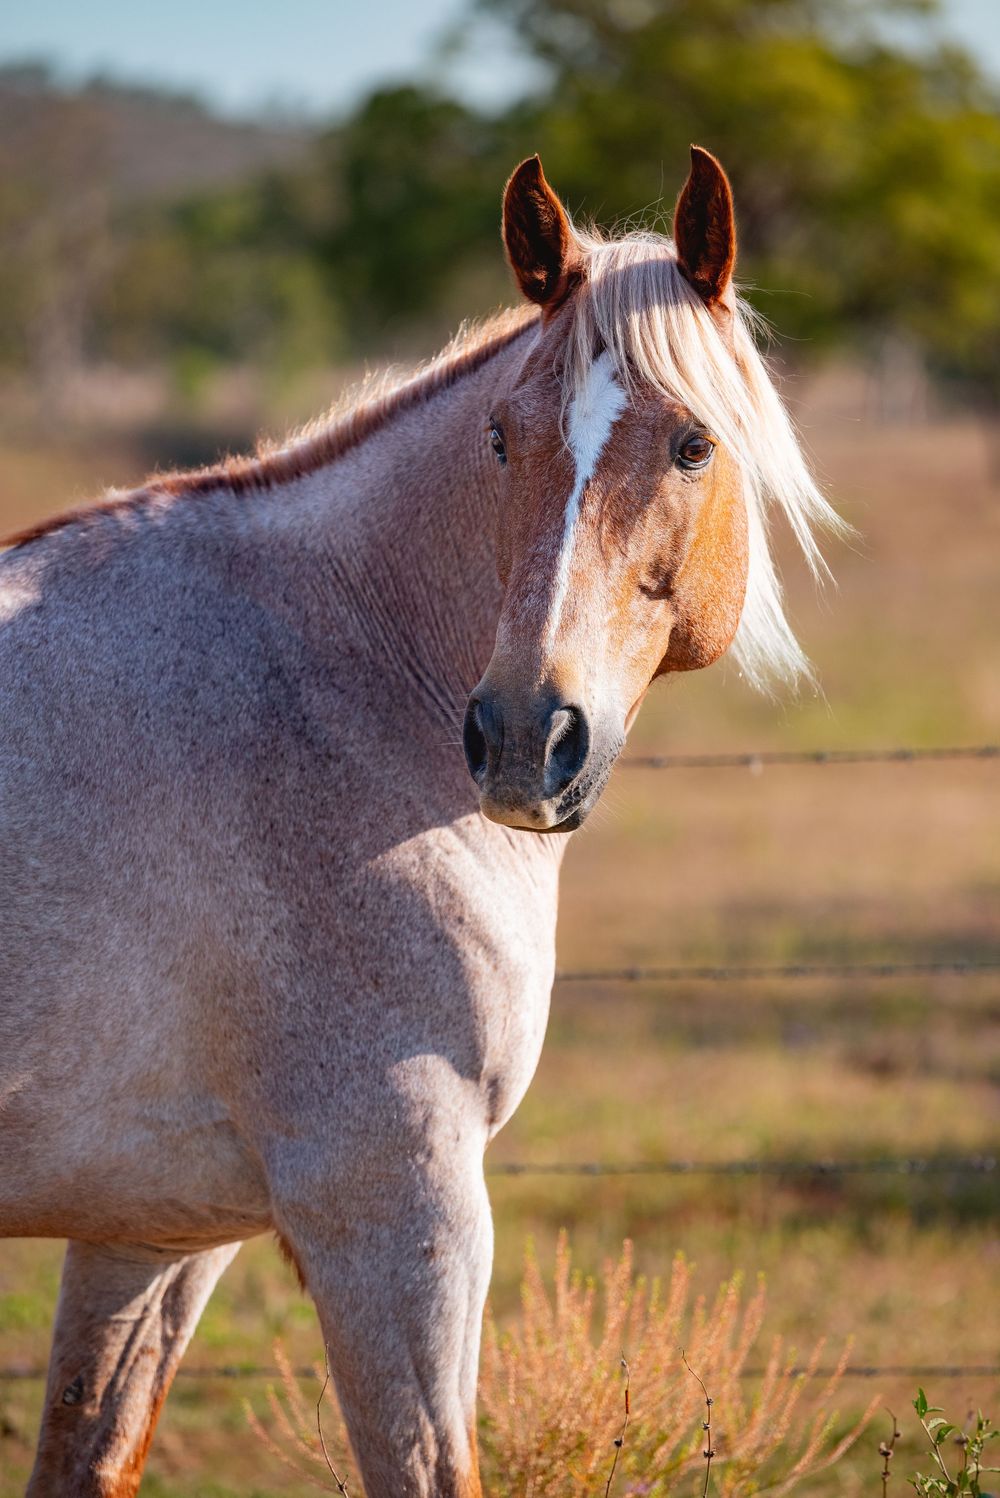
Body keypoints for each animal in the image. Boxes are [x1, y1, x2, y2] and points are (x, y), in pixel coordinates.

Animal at [0, 147, 842, 1496]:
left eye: (691, 444)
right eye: (502, 437)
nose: (521, 737)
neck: (326, 680)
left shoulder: (152, 1233)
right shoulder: (398, 1203)